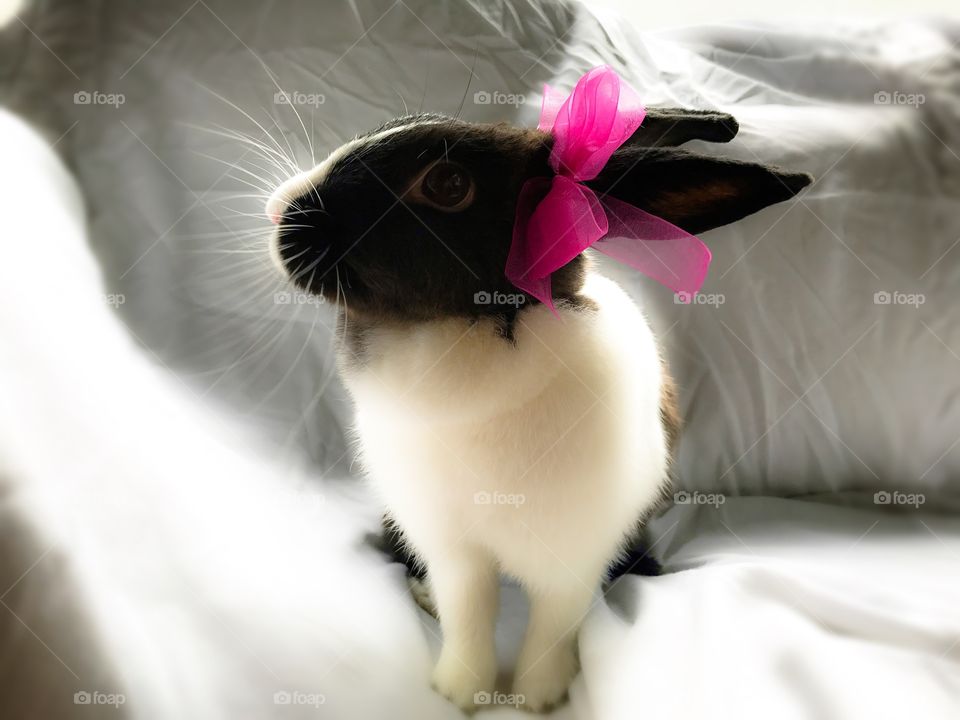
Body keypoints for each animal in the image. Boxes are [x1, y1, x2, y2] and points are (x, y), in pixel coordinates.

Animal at [265, 106, 811, 712]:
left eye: (448, 184)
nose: (278, 210)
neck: (484, 328)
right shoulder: (453, 549)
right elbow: (468, 617)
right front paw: (459, 693)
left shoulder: (572, 554)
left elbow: (552, 626)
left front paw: (539, 698)